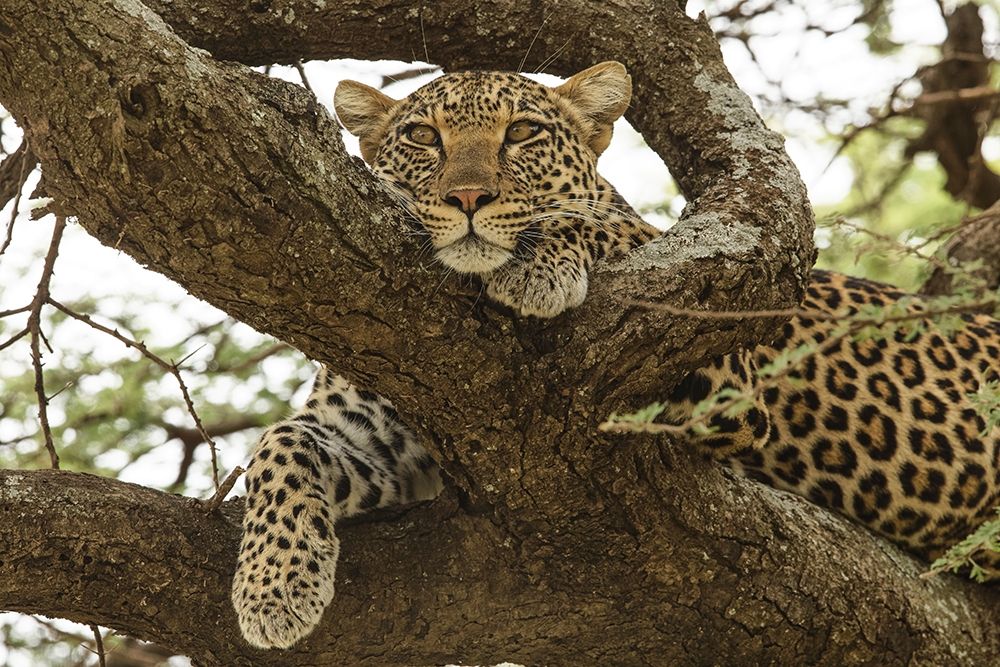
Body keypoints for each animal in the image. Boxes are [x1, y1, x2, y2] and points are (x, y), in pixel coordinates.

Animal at [231, 61, 1000, 650]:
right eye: (423, 137)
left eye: (523, 133)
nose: (469, 196)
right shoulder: (382, 439)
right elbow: (281, 442)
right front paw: (273, 588)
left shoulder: (720, 371)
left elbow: (606, 226)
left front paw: (538, 258)